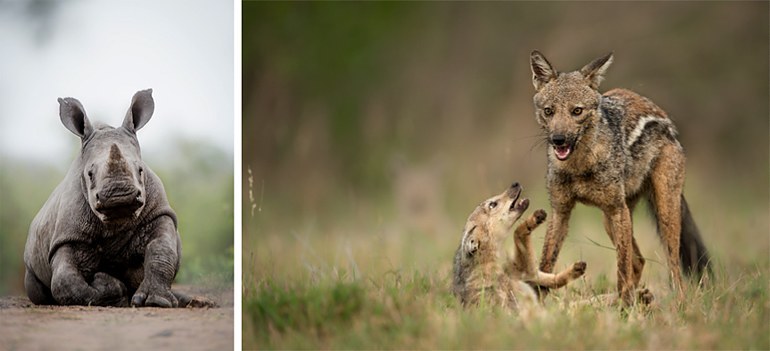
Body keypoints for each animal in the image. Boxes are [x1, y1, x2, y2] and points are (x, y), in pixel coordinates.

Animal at [24, 90, 206, 308]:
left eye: (140, 170)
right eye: (90, 174)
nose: (119, 196)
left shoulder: (159, 212)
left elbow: (162, 251)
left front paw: (156, 301)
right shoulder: (67, 235)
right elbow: (64, 282)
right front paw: (112, 289)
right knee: (37, 288)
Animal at [450, 183, 584, 312]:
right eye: (492, 204)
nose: (515, 183)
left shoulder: (523, 272)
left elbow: (552, 278)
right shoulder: (522, 276)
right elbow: (517, 233)